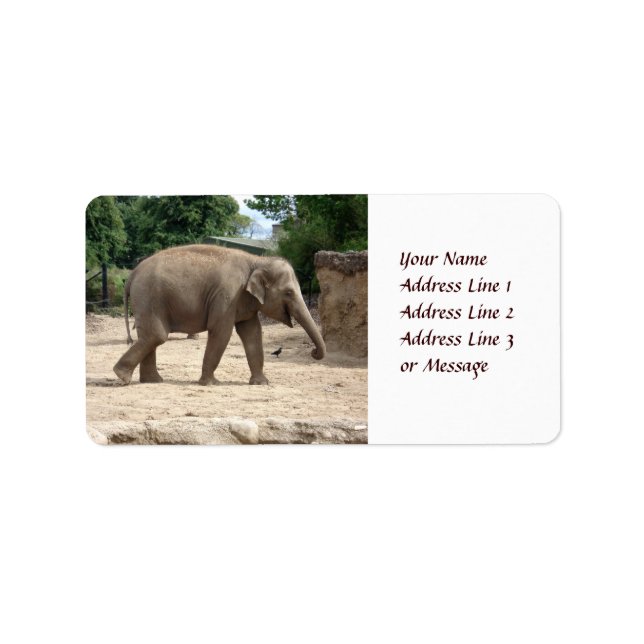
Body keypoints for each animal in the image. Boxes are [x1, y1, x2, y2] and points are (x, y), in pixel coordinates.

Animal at [113, 245, 326, 385]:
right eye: (289, 293)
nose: (314, 353)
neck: (257, 261)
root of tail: (131, 275)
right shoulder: (227, 295)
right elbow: (221, 332)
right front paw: (210, 383)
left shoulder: (242, 300)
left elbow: (253, 334)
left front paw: (262, 383)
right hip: (149, 297)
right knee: (156, 335)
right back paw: (122, 376)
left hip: (148, 300)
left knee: (150, 336)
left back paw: (152, 381)